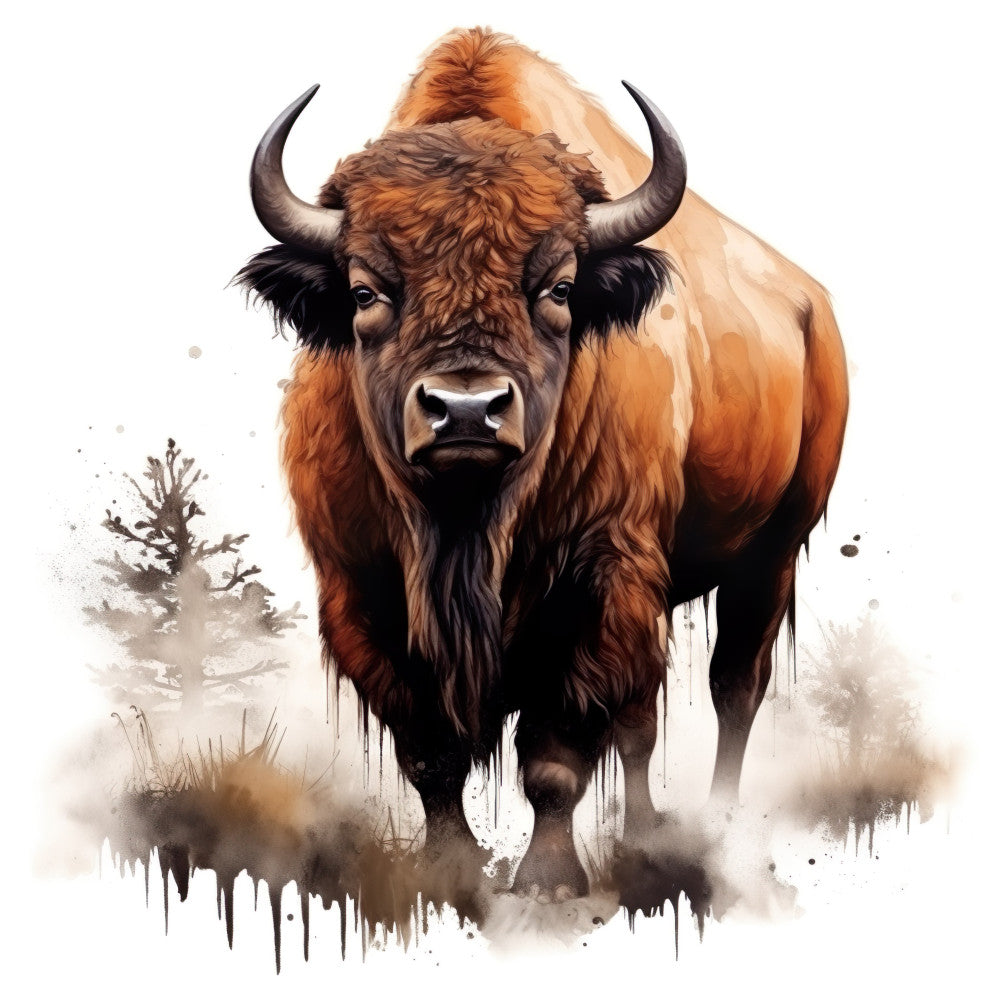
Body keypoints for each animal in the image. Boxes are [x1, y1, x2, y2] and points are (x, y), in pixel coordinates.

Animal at [237, 28, 848, 899]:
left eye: (559, 288)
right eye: (364, 292)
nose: (465, 410)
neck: (467, 533)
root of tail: (811, 306)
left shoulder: (600, 575)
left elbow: (557, 752)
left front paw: (549, 880)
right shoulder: (360, 590)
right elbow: (431, 752)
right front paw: (449, 869)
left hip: (771, 552)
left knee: (734, 685)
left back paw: (716, 825)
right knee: (642, 719)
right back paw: (644, 828)